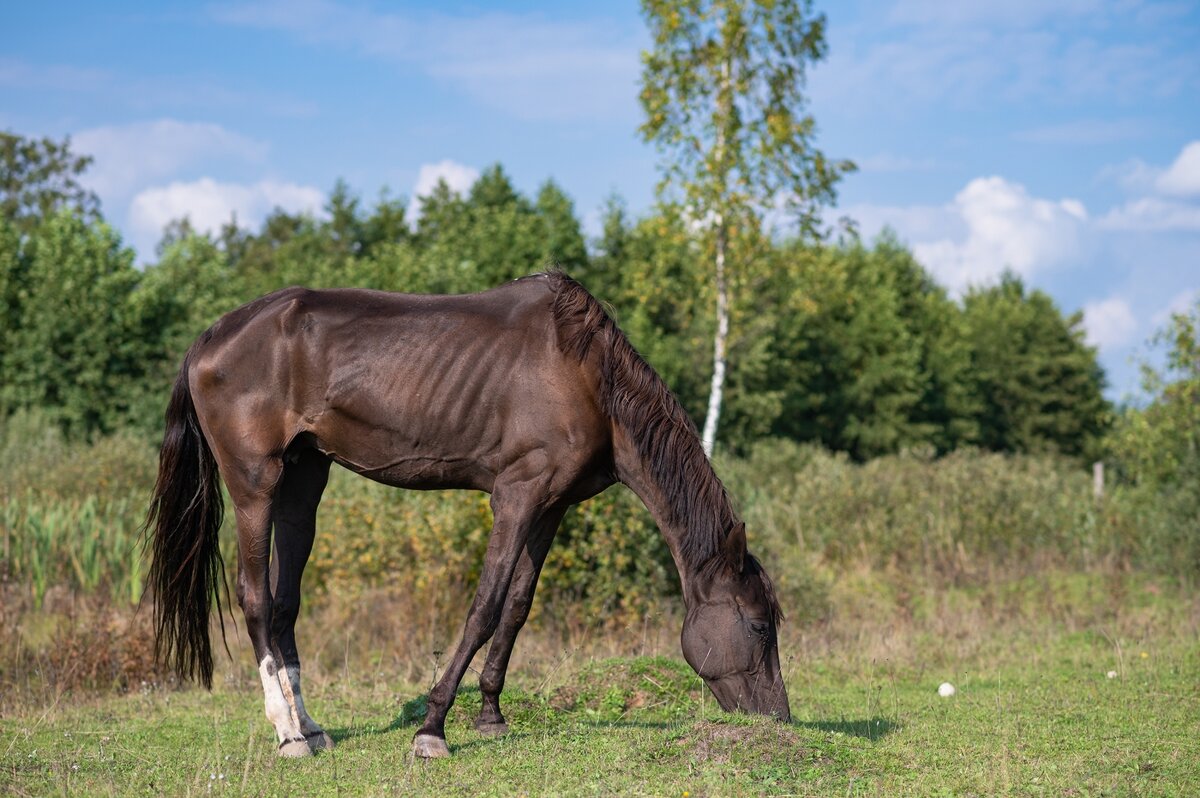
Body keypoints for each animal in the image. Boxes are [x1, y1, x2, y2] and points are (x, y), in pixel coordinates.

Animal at [145, 272, 792, 758]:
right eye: (761, 627)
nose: (779, 720)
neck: (587, 377)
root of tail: (209, 339)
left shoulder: (550, 507)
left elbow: (516, 610)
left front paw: (491, 715)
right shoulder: (516, 496)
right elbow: (483, 608)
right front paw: (432, 728)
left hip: (303, 483)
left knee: (284, 604)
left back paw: (312, 728)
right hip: (255, 485)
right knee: (255, 600)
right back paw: (287, 736)